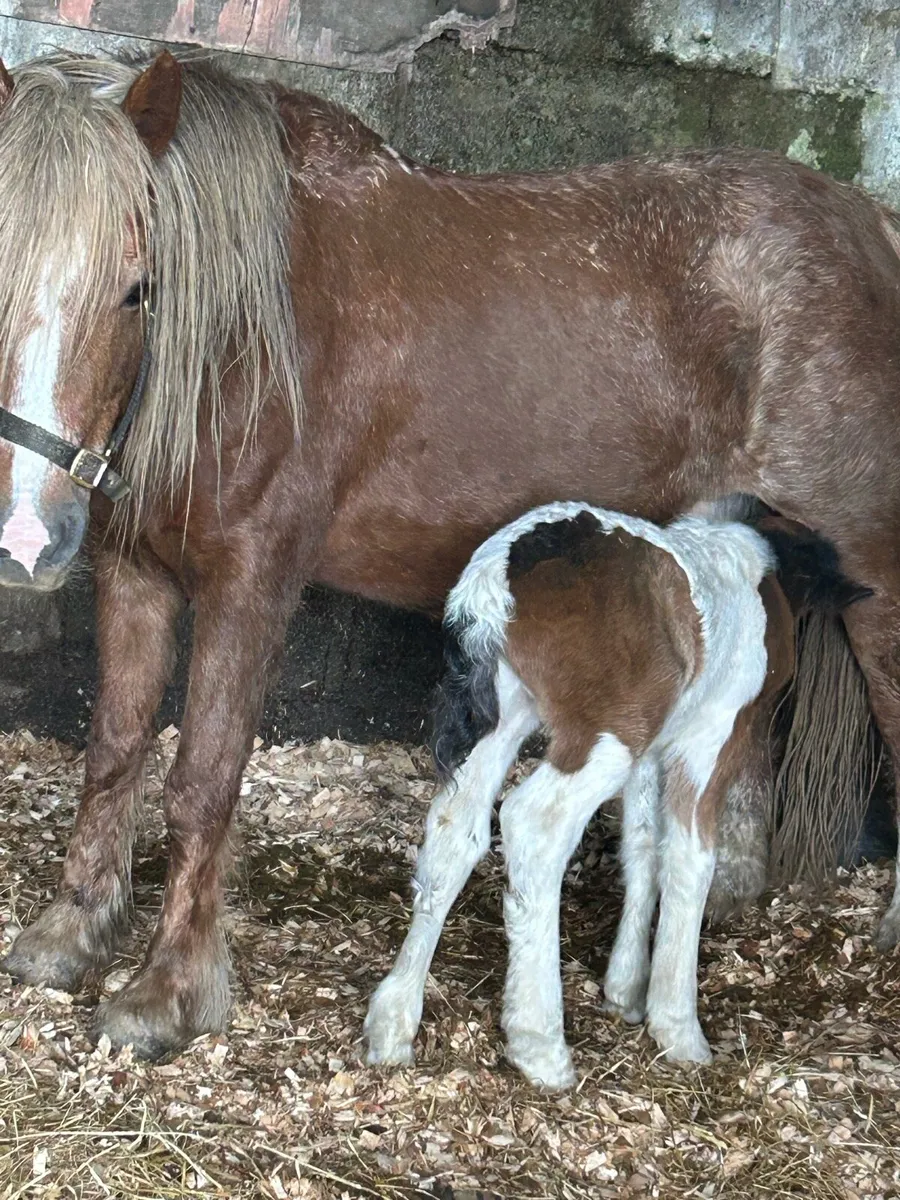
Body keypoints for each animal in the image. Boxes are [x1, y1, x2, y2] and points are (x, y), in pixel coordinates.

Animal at [364, 505, 868, 1087]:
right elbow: (690, 860)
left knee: (454, 830)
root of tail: (500, 574)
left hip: (508, 716)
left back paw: (392, 1023)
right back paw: (541, 1045)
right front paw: (677, 1027)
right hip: (606, 735)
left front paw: (626, 988)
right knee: (535, 825)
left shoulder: (653, 751)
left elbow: (643, 846)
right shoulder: (708, 736)